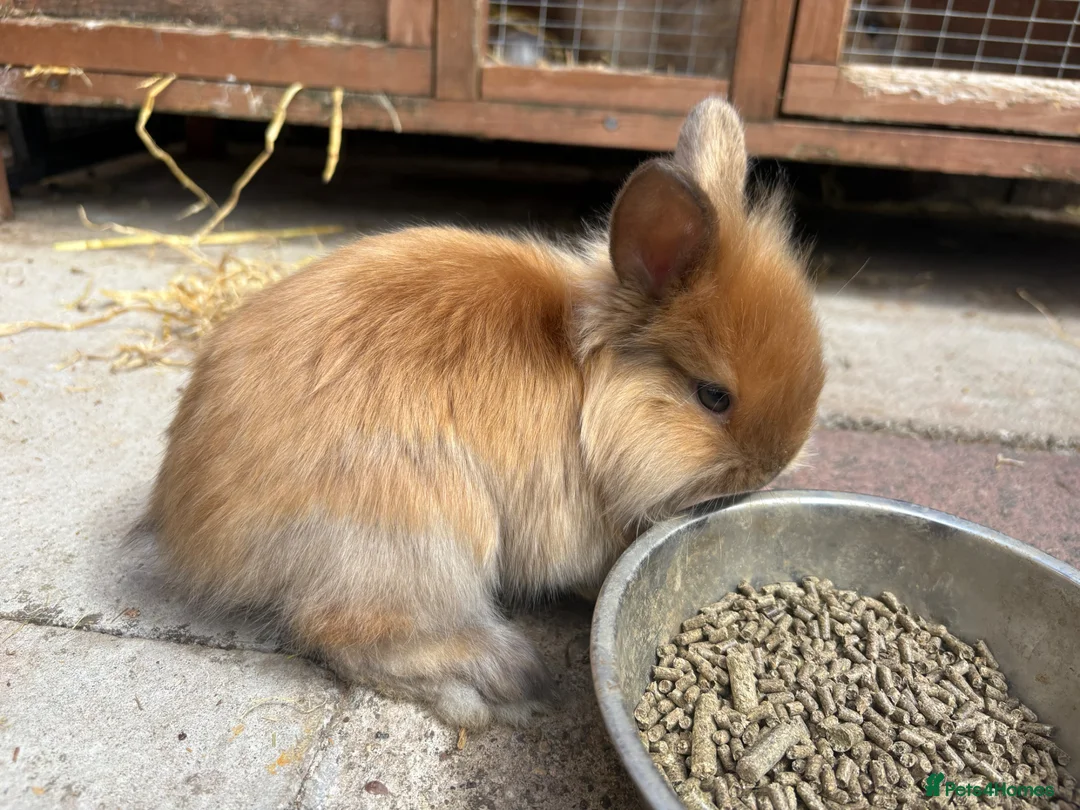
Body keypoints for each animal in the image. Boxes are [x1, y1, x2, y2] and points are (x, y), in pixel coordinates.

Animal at [141, 97, 825, 730]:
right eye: (713, 396)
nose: (773, 468)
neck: (588, 387)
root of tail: (191, 527)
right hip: (425, 533)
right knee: (344, 633)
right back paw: (499, 685)